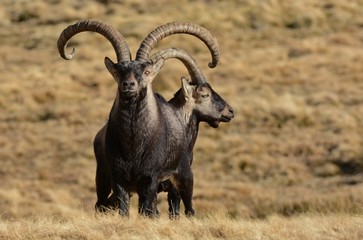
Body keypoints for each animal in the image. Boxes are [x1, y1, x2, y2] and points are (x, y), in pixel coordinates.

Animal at [57, 19, 233, 217]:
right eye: (117, 72)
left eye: (148, 72)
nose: (229, 111)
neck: (134, 142)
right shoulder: (120, 180)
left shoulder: (152, 180)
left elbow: (154, 211)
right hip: (102, 177)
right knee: (101, 204)